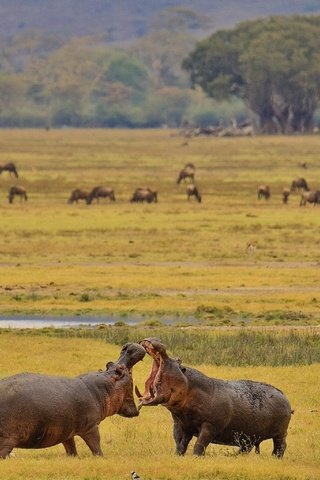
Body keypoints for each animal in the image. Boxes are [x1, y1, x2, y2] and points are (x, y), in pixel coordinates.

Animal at [0, 342, 145, 458]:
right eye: (120, 369)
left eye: (109, 364)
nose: (128, 347)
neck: (104, 389)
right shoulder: (91, 427)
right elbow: (96, 445)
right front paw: (102, 457)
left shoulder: (66, 431)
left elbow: (71, 447)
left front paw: (73, 457)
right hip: (8, 439)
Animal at [136, 338, 292, 458]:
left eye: (178, 360)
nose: (158, 339)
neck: (189, 386)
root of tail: (284, 395)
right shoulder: (181, 424)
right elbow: (180, 444)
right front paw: (177, 456)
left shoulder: (209, 426)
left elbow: (199, 444)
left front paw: (195, 457)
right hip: (248, 435)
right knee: (247, 447)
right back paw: (236, 457)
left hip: (280, 433)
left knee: (280, 446)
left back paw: (275, 458)